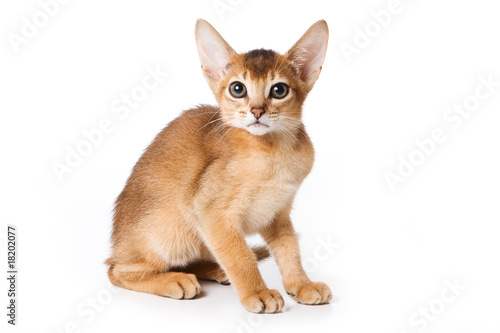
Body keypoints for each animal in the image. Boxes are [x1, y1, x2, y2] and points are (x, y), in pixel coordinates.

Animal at [106, 19, 332, 312]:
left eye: (279, 90)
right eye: (238, 89)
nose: (257, 111)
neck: (273, 153)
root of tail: (117, 246)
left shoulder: (278, 214)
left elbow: (289, 250)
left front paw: (302, 284)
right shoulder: (210, 212)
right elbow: (240, 256)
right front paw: (257, 292)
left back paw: (213, 270)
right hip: (170, 231)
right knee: (116, 271)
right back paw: (174, 280)